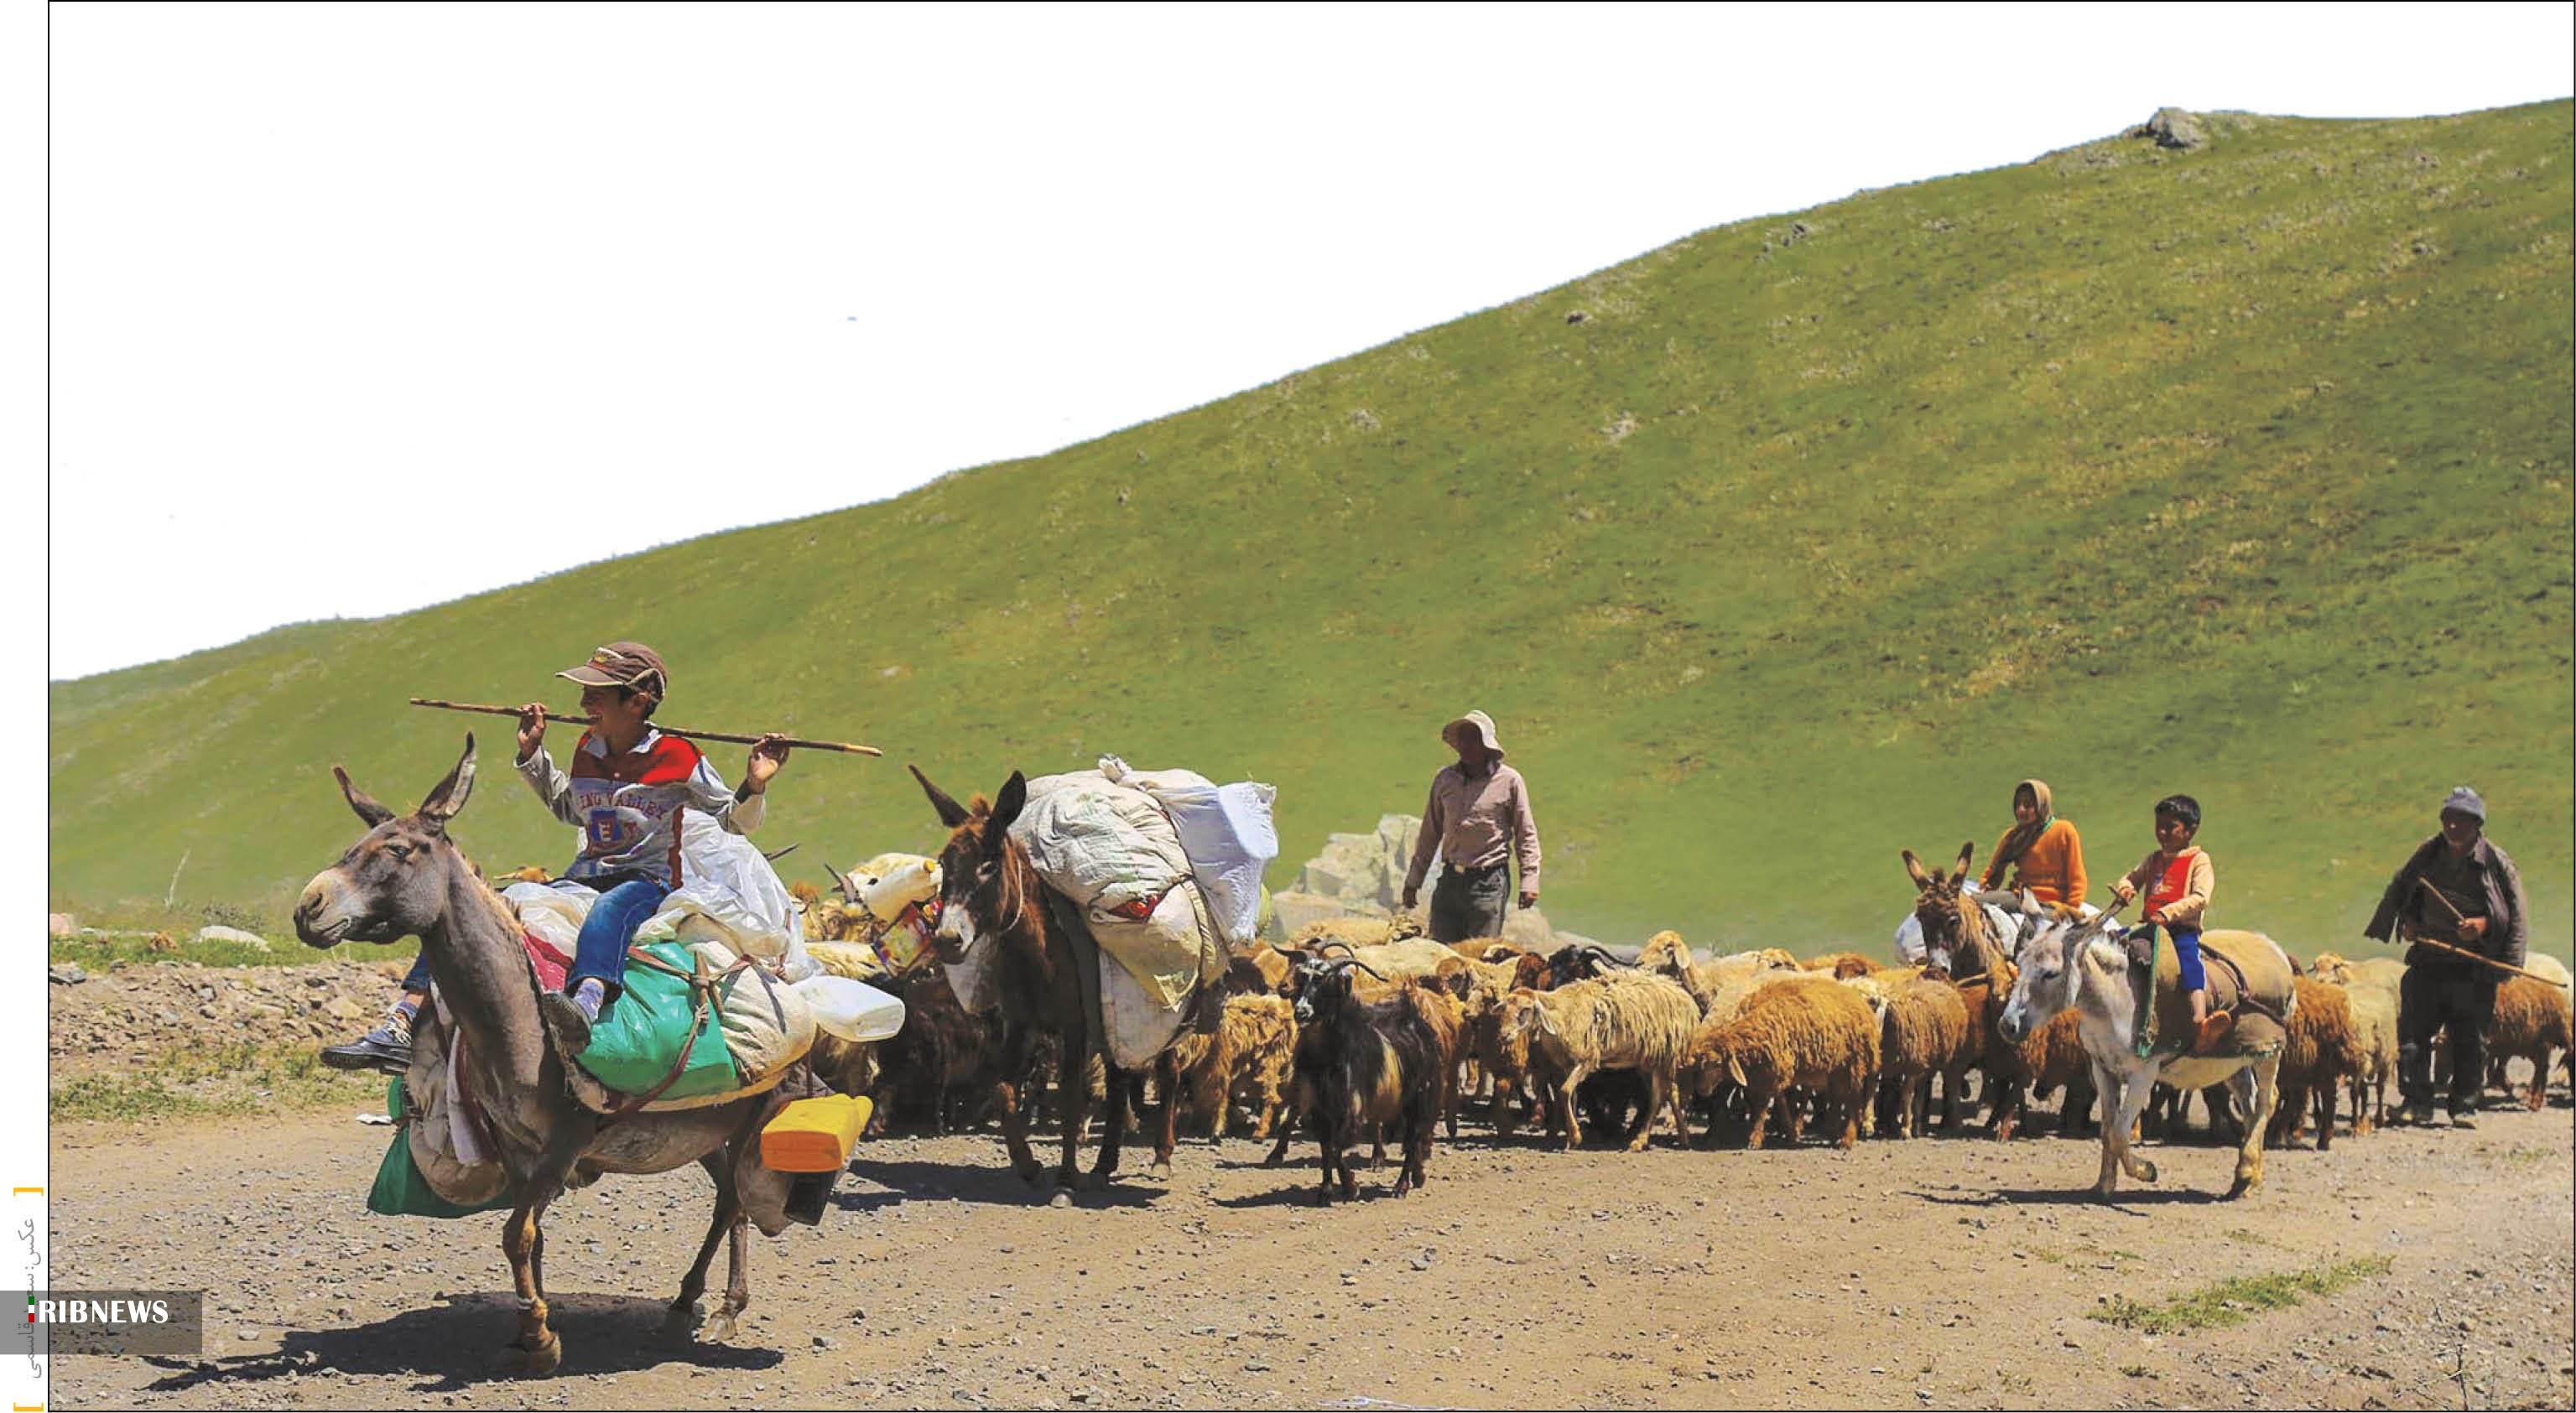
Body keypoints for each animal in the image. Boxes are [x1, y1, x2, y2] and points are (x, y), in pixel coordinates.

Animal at [1504, 973, 1699, 1153]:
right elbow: (1571, 1096)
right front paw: (1570, 1140)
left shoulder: (1586, 1059)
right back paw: (1684, 1138)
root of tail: (1683, 996)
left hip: (1663, 1055)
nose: (1505, 1035)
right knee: (1672, 1091)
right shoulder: (1568, 1064)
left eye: (1525, 1009)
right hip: (1648, 1060)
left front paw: (1575, 1137)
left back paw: (1640, 1141)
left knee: (1658, 1095)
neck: (1560, 1012)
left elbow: (1564, 1092)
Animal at [1679, 973, 1885, 1153]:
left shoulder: (1775, 1068)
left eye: (1716, 1063)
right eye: (1699, 1063)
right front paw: (1790, 1133)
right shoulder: (1773, 1068)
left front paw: (1755, 1139)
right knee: (1838, 1100)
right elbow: (1779, 1102)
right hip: (1836, 1070)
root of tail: (1861, 1003)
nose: (1702, 1089)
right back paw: (1834, 1134)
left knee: (1855, 1102)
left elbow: (1763, 1105)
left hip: (1854, 1064)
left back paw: (1847, 1139)